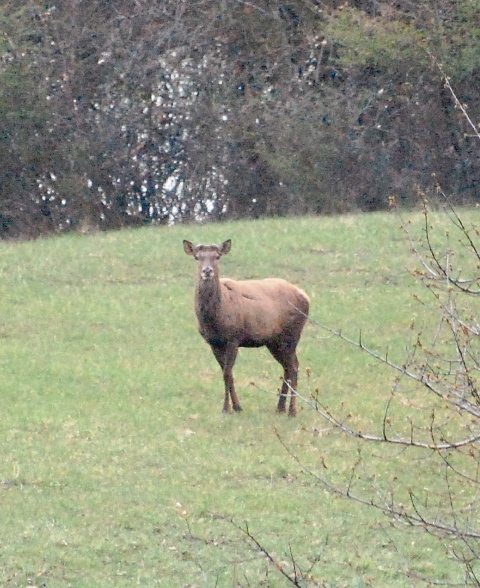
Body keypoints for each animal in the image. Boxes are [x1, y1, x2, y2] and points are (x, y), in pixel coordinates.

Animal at [182, 237, 310, 416]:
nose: (207, 271)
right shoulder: (213, 342)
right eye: (197, 257)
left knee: (293, 366)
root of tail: (305, 296)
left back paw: (292, 410)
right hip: (274, 341)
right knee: (287, 366)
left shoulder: (233, 337)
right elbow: (226, 373)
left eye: (217, 256)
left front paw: (230, 408)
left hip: (292, 334)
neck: (215, 318)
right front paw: (234, 407)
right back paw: (280, 407)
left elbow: (227, 372)